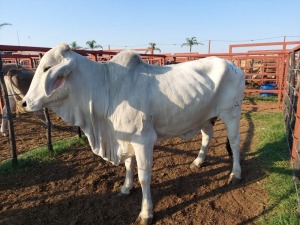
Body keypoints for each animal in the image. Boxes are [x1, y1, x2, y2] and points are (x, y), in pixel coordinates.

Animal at [22, 43, 245, 224]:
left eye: (47, 68)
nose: (24, 102)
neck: (106, 88)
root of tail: (234, 66)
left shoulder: (143, 140)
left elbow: (144, 176)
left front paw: (146, 213)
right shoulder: (124, 137)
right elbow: (129, 165)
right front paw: (125, 188)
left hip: (231, 113)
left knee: (234, 142)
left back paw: (235, 174)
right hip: (204, 116)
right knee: (207, 134)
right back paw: (198, 161)